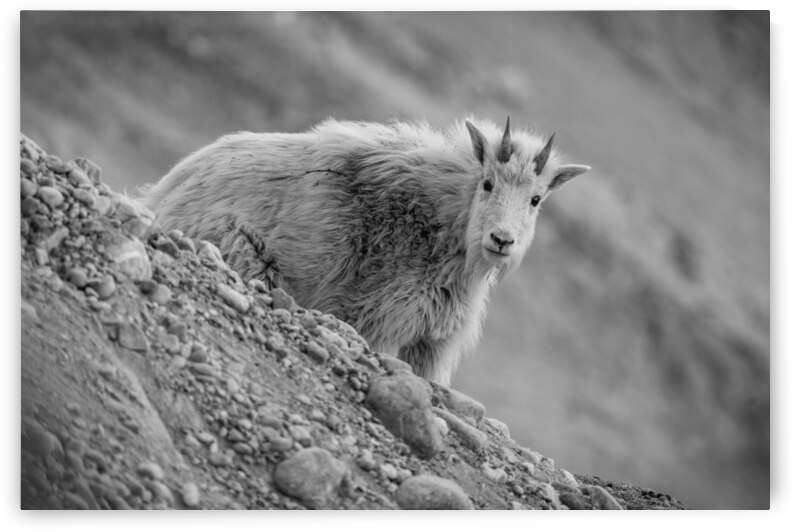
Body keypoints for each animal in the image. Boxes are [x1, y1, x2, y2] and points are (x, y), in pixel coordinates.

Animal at [141, 118, 590, 384]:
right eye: (488, 183)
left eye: (536, 199)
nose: (502, 240)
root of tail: (161, 194)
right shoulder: (382, 321)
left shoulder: (432, 345)